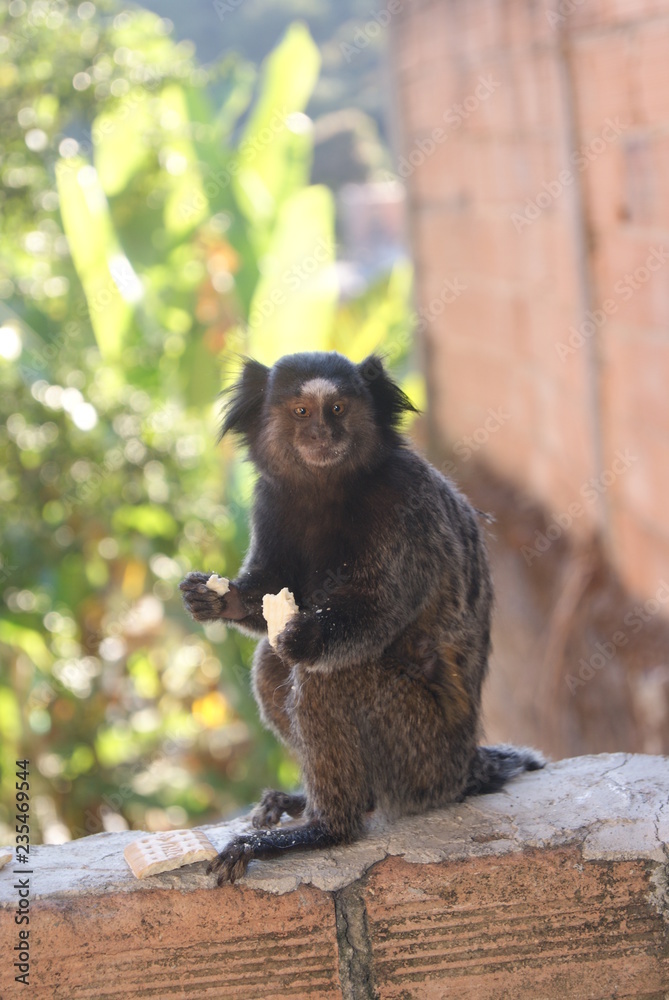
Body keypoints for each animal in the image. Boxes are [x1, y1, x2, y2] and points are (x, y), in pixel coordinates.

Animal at [179, 351, 544, 884]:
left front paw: (307, 634)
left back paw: (324, 828)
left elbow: (375, 610)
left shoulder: (404, 504)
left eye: (337, 408)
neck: (327, 491)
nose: (324, 434)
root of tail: (463, 767)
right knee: (270, 663)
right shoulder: (270, 500)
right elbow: (270, 590)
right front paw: (218, 600)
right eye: (302, 412)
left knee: (323, 677)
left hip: (418, 750)